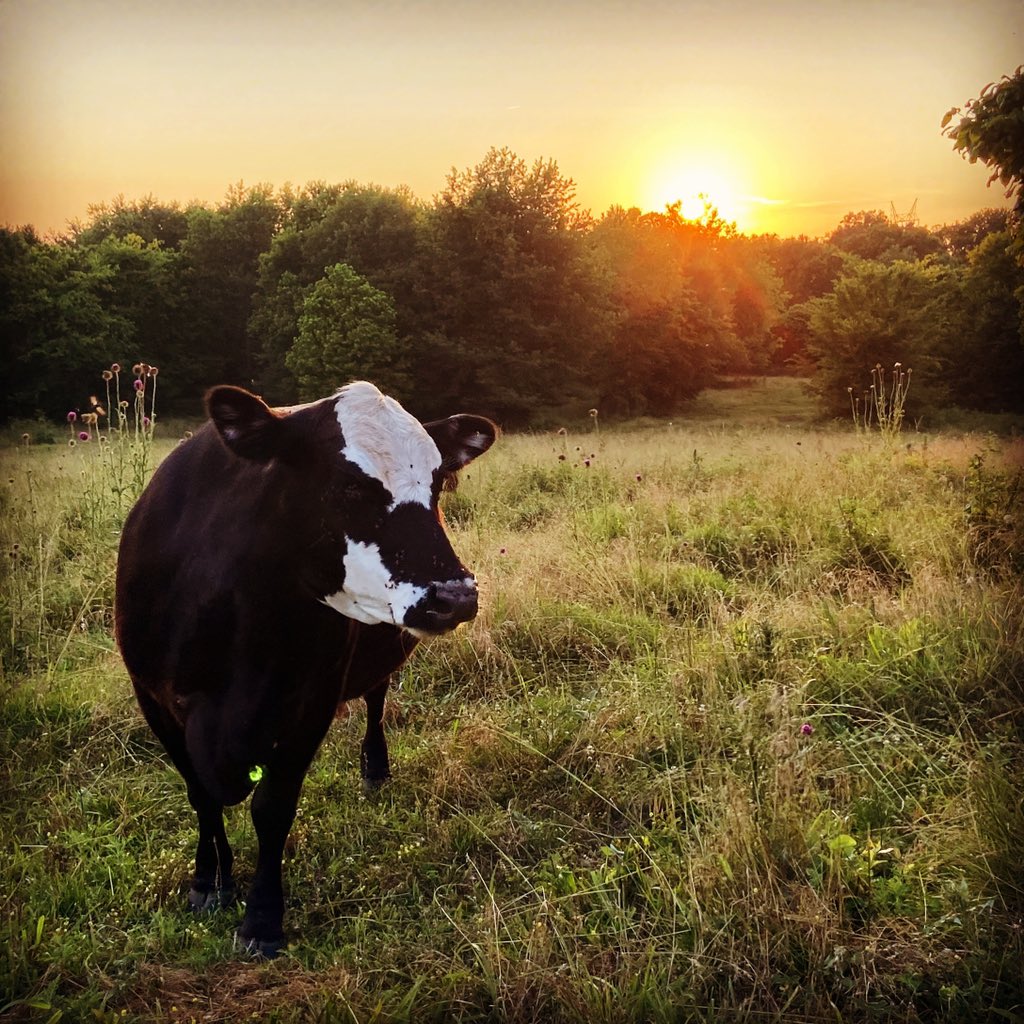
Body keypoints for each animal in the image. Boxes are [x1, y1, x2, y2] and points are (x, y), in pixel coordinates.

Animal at [114, 380, 497, 954]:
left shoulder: (311, 701)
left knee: (376, 700)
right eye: (347, 484)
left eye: (437, 484)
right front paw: (210, 880)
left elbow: (272, 809)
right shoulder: (154, 698)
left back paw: (375, 769)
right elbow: (201, 794)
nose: (454, 597)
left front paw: (262, 920)